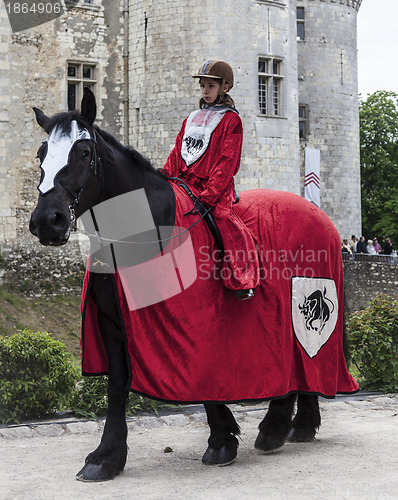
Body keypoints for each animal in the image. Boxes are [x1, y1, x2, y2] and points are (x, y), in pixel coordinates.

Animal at [29, 89, 326, 480]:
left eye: (83, 152)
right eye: (41, 153)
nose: (48, 220)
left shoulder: (193, 328)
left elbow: (200, 378)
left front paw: (221, 441)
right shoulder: (113, 325)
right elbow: (117, 384)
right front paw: (105, 457)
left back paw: (292, 426)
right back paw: (280, 428)